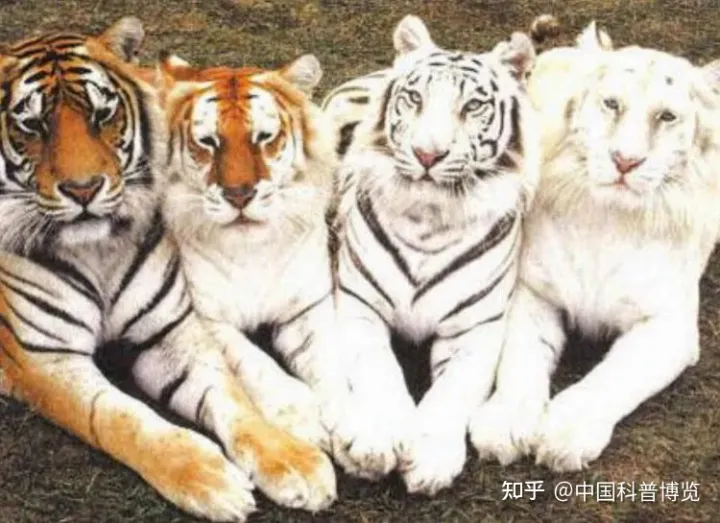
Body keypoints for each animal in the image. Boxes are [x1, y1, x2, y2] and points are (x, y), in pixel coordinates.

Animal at [159, 53, 350, 453]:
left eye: (263, 137)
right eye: (208, 141)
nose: (239, 195)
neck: (252, 249)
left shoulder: (307, 306)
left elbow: (329, 360)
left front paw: (359, 427)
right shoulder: (204, 316)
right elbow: (254, 362)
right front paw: (302, 417)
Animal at [324, 15, 541, 495]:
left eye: (473, 106)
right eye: (414, 98)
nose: (427, 154)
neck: (429, 217)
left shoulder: (475, 329)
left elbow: (452, 392)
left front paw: (430, 457)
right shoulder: (360, 307)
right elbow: (379, 370)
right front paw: (378, 436)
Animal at [469, 18, 720, 472]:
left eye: (666, 116)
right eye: (611, 104)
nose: (625, 161)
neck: (610, 218)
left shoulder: (670, 325)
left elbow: (615, 376)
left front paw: (566, 433)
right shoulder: (532, 289)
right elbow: (520, 358)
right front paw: (504, 424)